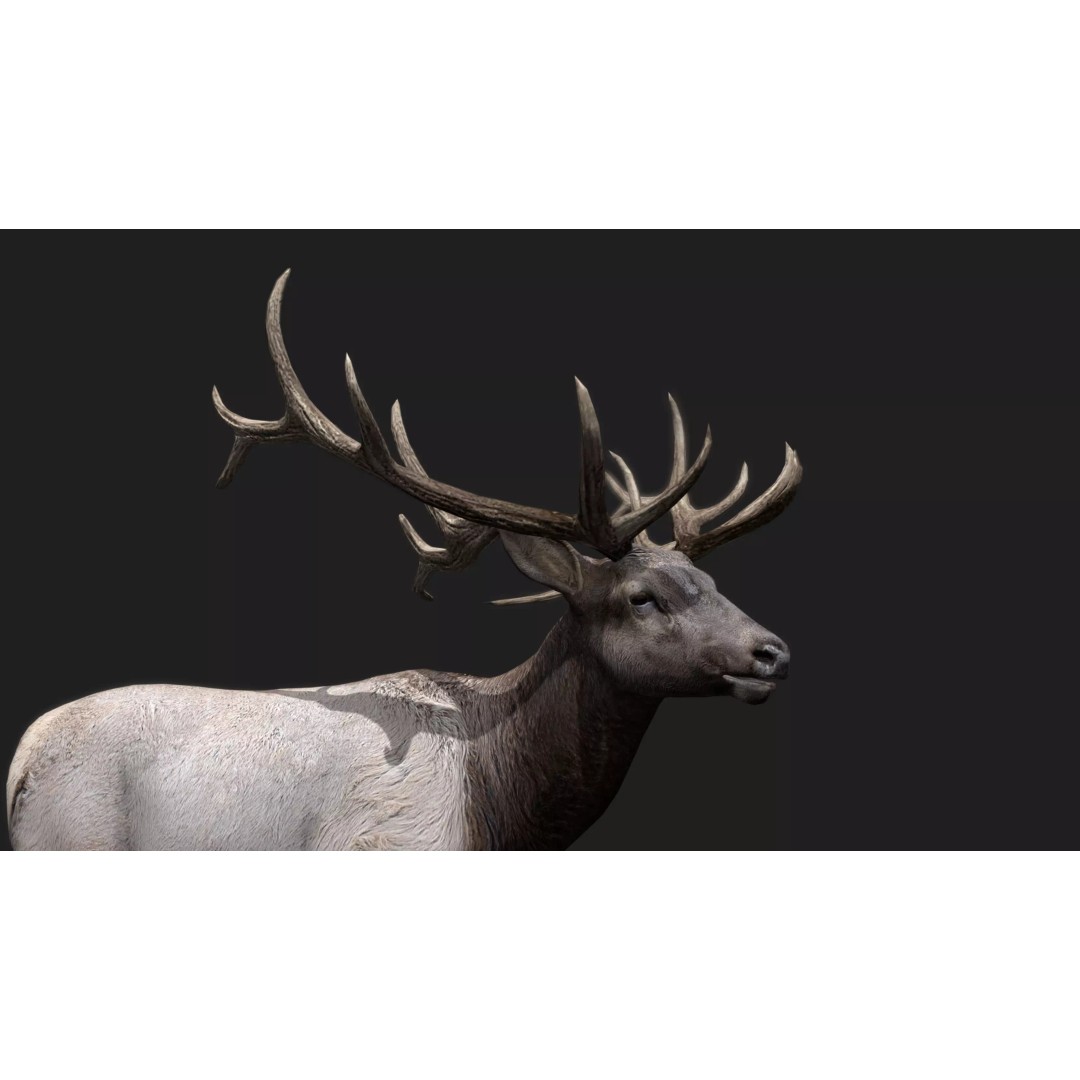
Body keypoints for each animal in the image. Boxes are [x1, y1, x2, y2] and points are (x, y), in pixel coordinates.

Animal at [7, 271, 802, 850]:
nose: (773, 651)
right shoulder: (390, 840)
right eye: (642, 597)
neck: (500, 815)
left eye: (712, 582)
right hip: (75, 834)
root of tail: (19, 766)